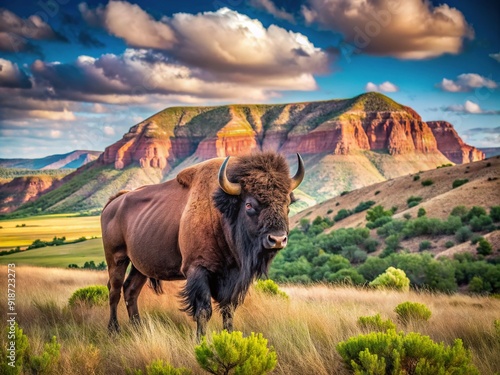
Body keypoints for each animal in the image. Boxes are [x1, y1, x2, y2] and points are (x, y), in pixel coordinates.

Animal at [100, 151, 304, 340]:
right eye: (249, 204)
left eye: (287, 205)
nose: (277, 239)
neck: (221, 213)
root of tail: (113, 203)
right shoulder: (197, 270)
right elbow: (203, 311)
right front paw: (201, 341)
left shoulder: (234, 278)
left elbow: (228, 310)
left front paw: (229, 337)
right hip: (117, 259)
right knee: (114, 290)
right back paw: (113, 330)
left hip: (140, 266)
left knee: (131, 290)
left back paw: (138, 328)